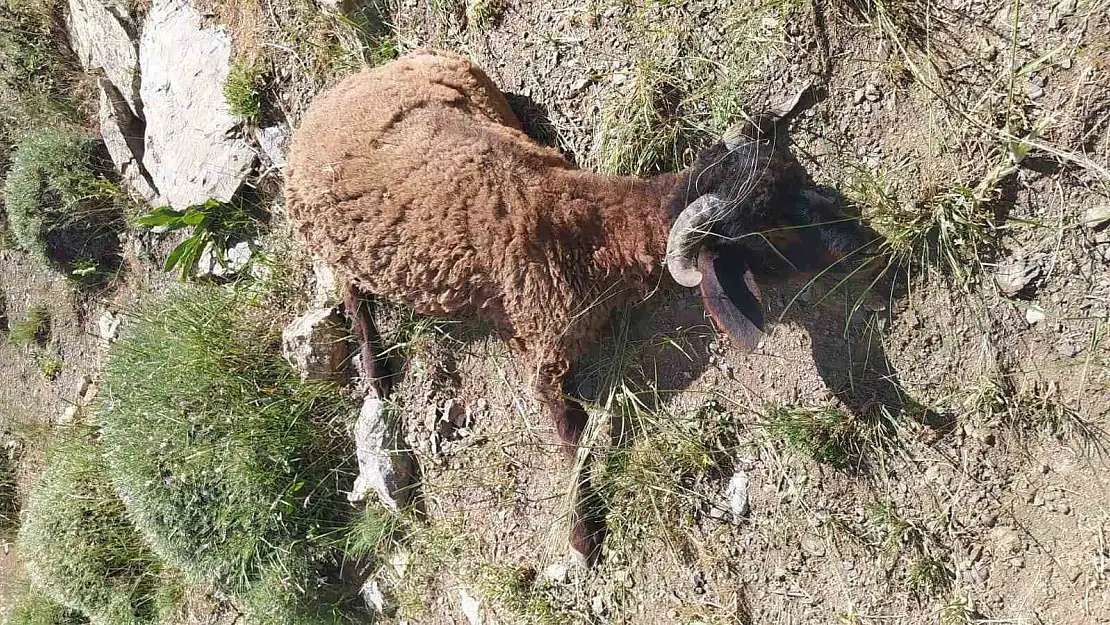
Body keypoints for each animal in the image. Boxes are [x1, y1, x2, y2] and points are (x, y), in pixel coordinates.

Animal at [281, 48, 879, 561]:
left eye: (798, 179)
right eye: (766, 230)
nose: (865, 241)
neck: (582, 224)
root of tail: (320, 108)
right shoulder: (546, 358)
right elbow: (573, 438)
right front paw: (583, 536)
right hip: (333, 248)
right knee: (350, 296)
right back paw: (375, 371)